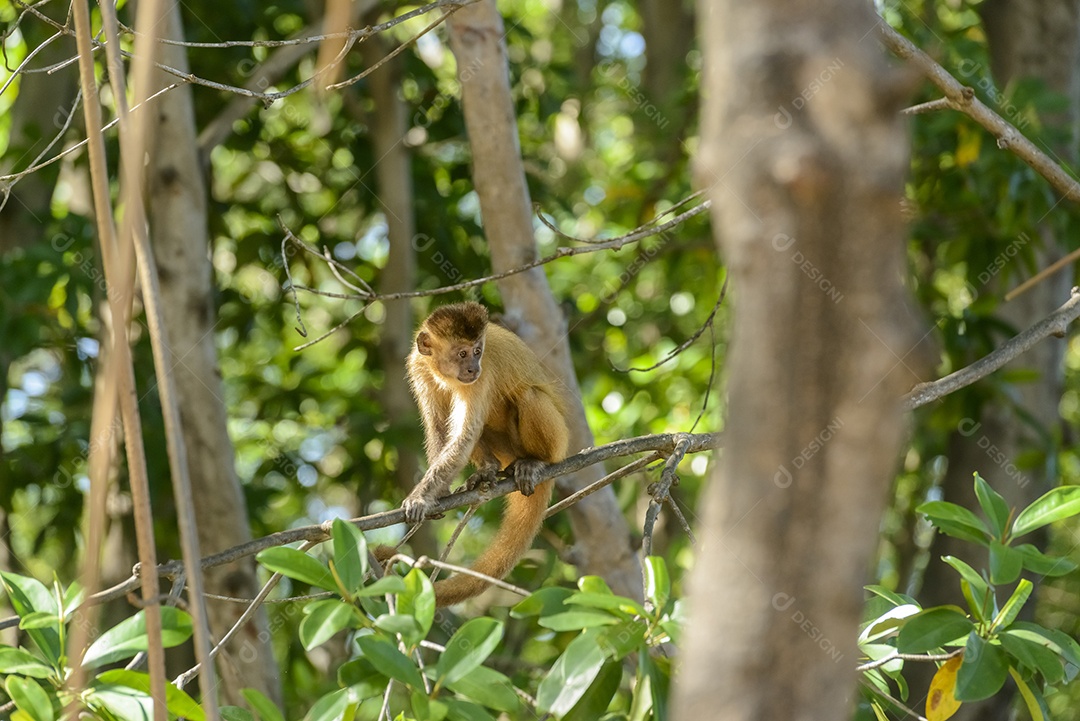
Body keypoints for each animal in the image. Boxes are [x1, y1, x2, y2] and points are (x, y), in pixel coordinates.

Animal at [403, 302, 574, 604]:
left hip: (559, 440)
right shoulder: (418, 365)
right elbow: (438, 427)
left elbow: (464, 436)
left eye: (477, 351)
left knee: (528, 396)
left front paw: (420, 497)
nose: (473, 367)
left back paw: (536, 462)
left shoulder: (484, 372)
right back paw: (488, 470)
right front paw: (439, 493)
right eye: (462, 353)